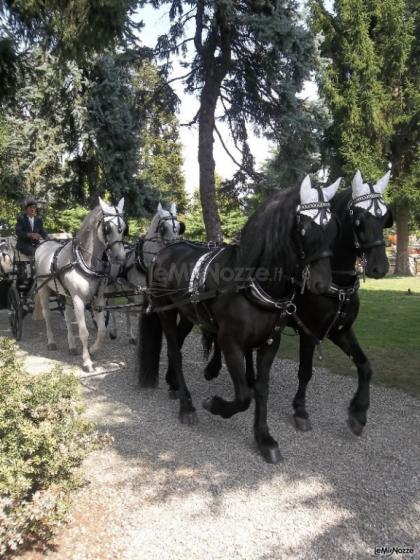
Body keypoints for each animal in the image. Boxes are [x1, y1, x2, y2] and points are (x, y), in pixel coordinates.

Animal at [34, 197, 126, 372]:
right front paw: (87, 362)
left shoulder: (98, 299)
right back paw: (51, 342)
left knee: (67, 317)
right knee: (47, 314)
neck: (83, 260)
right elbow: (83, 332)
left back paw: (71, 346)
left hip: (66, 295)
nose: (120, 257)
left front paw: (92, 350)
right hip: (44, 289)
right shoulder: (78, 300)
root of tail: (42, 245)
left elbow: (102, 331)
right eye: (107, 228)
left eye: (124, 228)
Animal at [108, 201, 185, 342]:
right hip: (111, 287)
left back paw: (131, 335)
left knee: (128, 309)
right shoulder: (140, 295)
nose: (177, 247)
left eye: (179, 227)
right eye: (163, 228)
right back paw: (114, 332)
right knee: (111, 307)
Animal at [137, 176, 342, 464]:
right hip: (165, 310)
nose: (321, 284)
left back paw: (174, 386)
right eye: (303, 228)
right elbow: (244, 396)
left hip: (188, 314)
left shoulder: (270, 343)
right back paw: (187, 405)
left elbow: (261, 390)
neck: (250, 283)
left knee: (177, 343)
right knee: (175, 353)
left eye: (333, 227)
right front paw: (214, 405)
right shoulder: (229, 342)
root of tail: (166, 250)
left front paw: (264, 438)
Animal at [203, 170, 394, 438]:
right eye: (359, 218)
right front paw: (301, 411)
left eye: (385, 217)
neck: (338, 283)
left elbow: (365, 366)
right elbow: (305, 371)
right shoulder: (308, 331)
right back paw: (213, 368)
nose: (380, 267)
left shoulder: (341, 330)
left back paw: (250, 376)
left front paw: (358, 413)